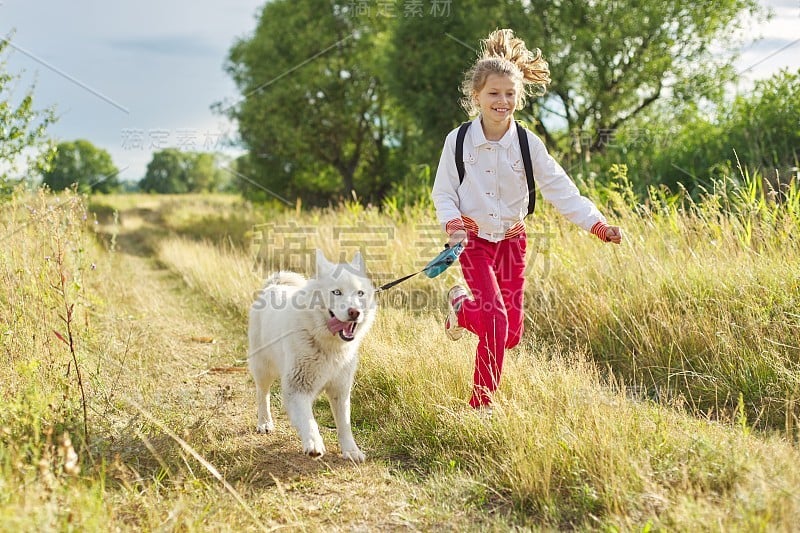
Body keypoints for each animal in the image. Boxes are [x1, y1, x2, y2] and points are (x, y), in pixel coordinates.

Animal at [248, 250, 376, 462]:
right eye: (336, 292)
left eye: (360, 293)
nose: (354, 312)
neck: (328, 346)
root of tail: (274, 285)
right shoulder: (297, 388)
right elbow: (309, 421)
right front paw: (314, 444)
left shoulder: (340, 390)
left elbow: (344, 424)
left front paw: (351, 451)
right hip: (262, 368)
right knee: (262, 394)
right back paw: (265, 423)